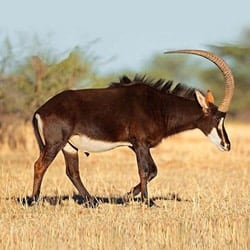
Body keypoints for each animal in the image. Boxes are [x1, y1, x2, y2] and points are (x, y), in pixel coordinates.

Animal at [30, 49, 234, 207]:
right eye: (217, 118)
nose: (227, 145)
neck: (159, 106)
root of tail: (40, 110)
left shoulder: (136, 146)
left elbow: (151, 171)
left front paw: (127, 196)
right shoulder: (141, 144)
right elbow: (146, 170)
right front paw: (146, 202)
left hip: (69, 147)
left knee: (72, 172)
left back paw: (92, 202)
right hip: (55, 143)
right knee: (40, 165)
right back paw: (34, 200)